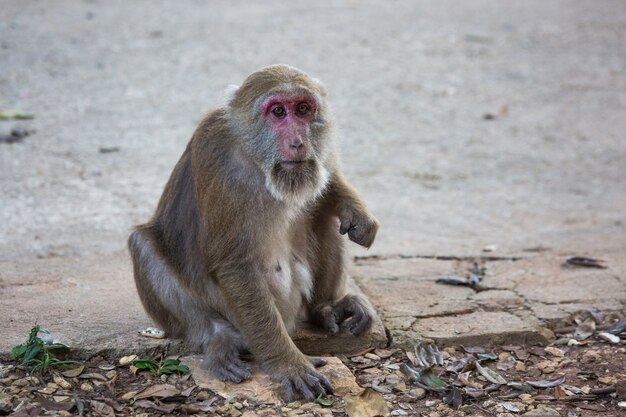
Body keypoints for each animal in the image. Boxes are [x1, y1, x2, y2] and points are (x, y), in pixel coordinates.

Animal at [129, 62, 378, 400]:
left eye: (303, 109)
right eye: (278, 112)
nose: (298, 142)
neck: (255, 156)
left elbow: (327, 184)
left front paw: (357, 211)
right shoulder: (214, 147)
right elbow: (234, 263)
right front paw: (288, 364)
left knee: (323, 215)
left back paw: (325, 308)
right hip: (235, 314)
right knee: (142, 243)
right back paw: (219, 338)